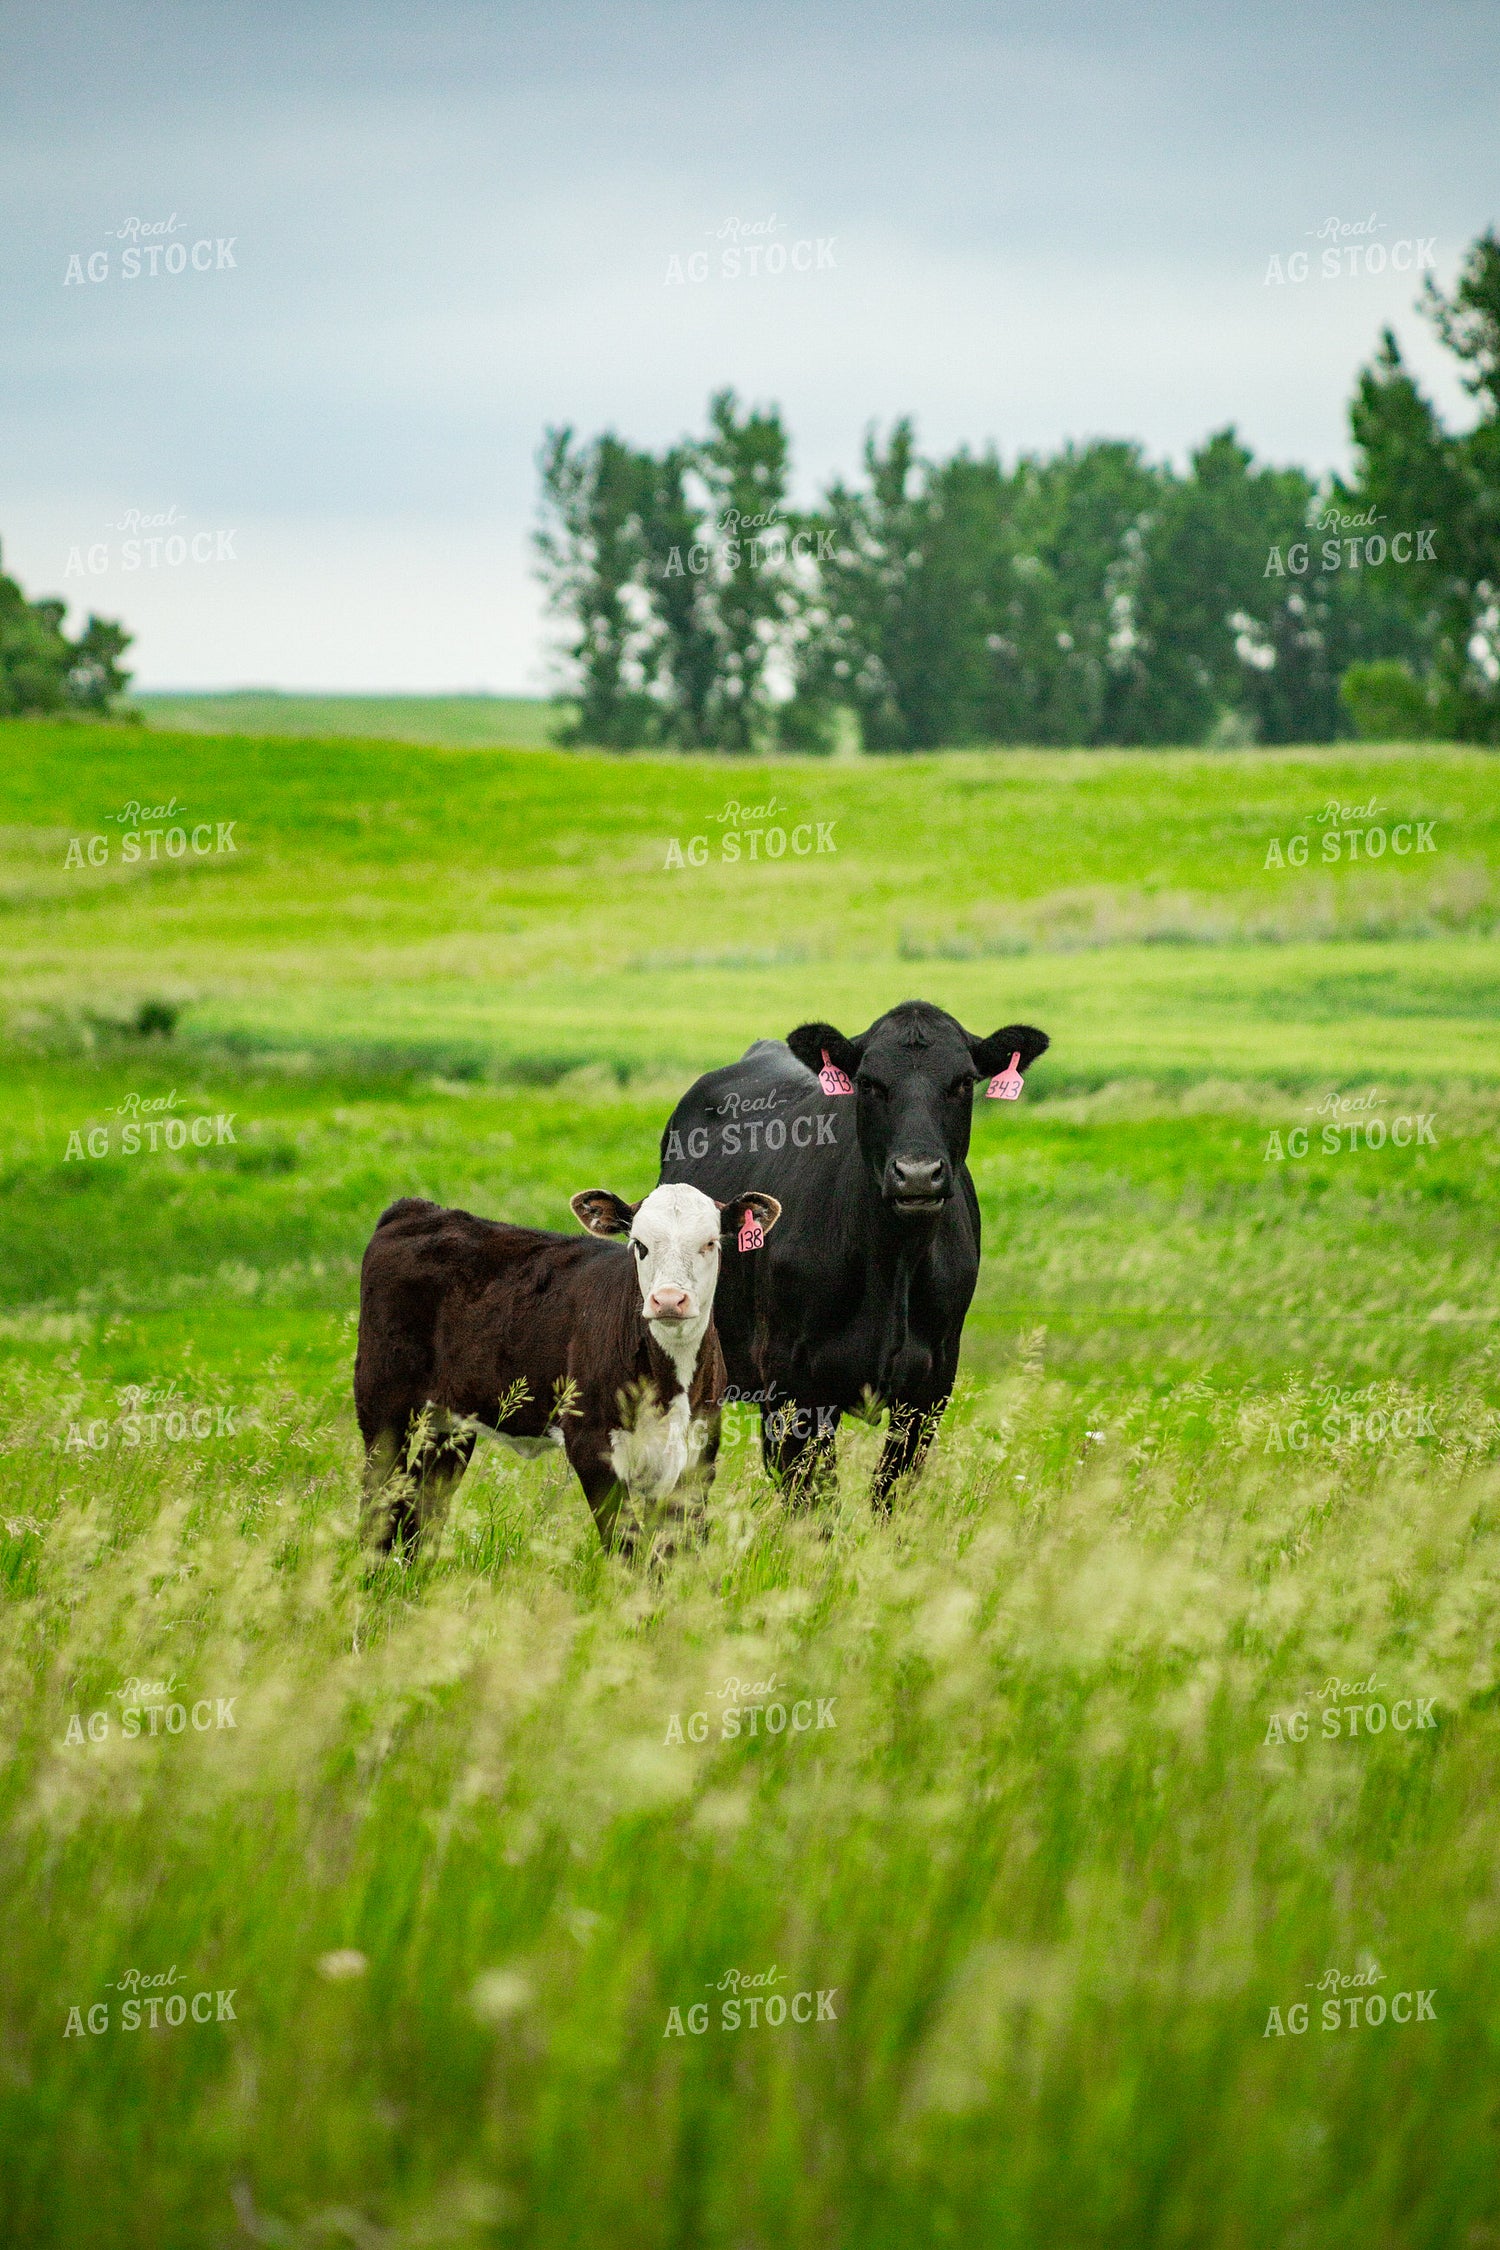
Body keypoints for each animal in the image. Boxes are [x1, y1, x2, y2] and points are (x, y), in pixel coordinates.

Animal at [354, 1181, 780, 1564]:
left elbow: (671, 1552)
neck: (667, 1382)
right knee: (379, 1500)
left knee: (421, 1506)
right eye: (639, 1245)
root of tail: (418, 1209)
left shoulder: (698, 1449)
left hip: (450, 1419)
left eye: (709, 1243)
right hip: (381, 1404)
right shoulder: (590, 1443)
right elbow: (629, 1550)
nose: (669, 1300)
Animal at [657, 1000, 1049, 1507]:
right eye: (868, 1082)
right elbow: (812, 1498)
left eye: (964, 1081)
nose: (917, 1174)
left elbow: (891, 1489)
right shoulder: (792, 1383)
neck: (894, 1260)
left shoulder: (933, 1382)